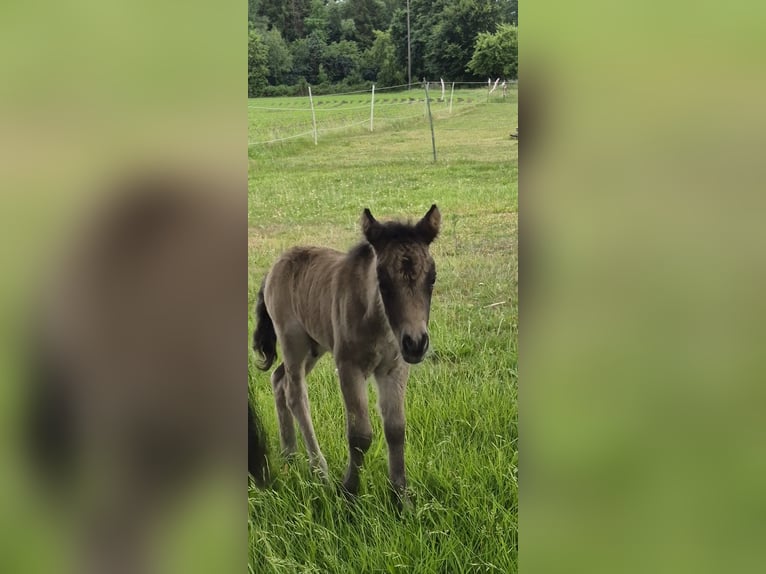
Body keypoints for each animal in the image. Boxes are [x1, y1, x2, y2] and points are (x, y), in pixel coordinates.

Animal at [252, 205, 440, 505]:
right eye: (383, 281)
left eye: (432, 279)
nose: (416, 343)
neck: (379, 323)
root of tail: (273, 268)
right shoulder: (349, 365)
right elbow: (360, 434)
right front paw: (349, 493)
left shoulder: (395, 368)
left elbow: (396, 429)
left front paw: (401, 499)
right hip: (293, 342)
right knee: (295, 393)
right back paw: (320, 471)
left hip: (315, 346)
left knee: (278, 380)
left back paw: (290, 454)